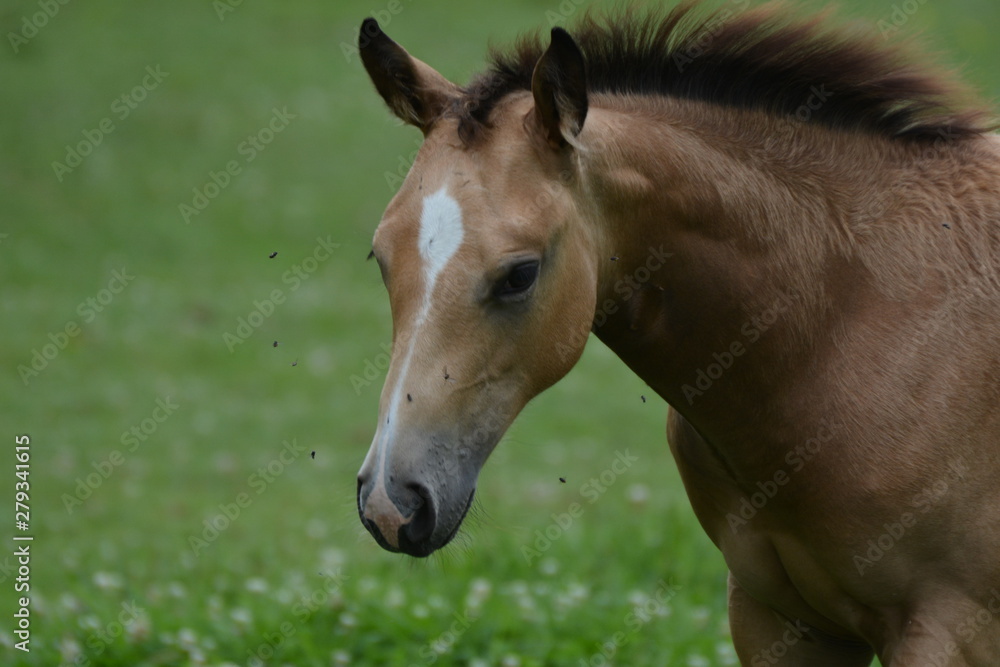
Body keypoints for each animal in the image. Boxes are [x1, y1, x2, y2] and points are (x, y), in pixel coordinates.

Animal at [353, 2, 1000, 664]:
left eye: (521, 274)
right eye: (381, 257)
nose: (391, 503)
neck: (849, 320)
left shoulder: (951, 630)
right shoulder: (777, 616)